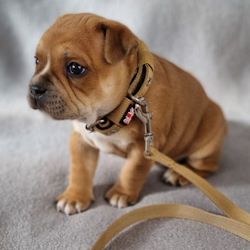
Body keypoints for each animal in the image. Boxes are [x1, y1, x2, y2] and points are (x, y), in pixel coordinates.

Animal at [27, 13, 229, 215]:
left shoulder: (143, 146)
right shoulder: (81, 141)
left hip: (206, 144)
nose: (35, 88)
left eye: (75, 68)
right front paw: (74, 197)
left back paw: (178, 174)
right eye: (36, 61)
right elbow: (79, 170)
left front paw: (122, 193)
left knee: (206, 167)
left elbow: (132, 171)